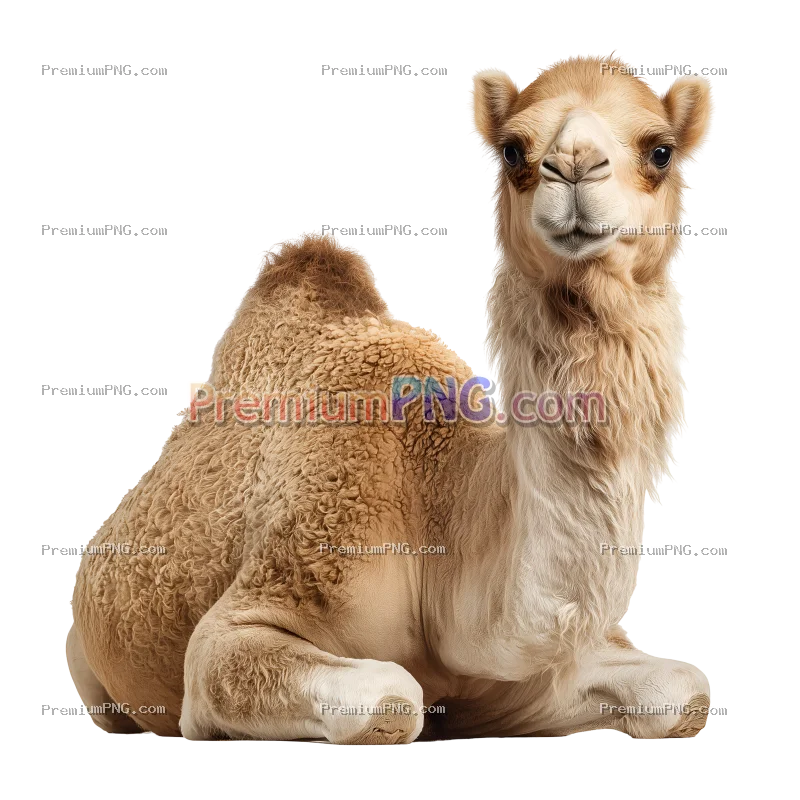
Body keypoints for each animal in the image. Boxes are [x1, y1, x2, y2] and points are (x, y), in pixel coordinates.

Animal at [68, 53, 716, 743]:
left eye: (661, 151)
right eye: (513, 149)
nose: (573, 166)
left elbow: (686, 690)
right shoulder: (242, 624)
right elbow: (390, 697)